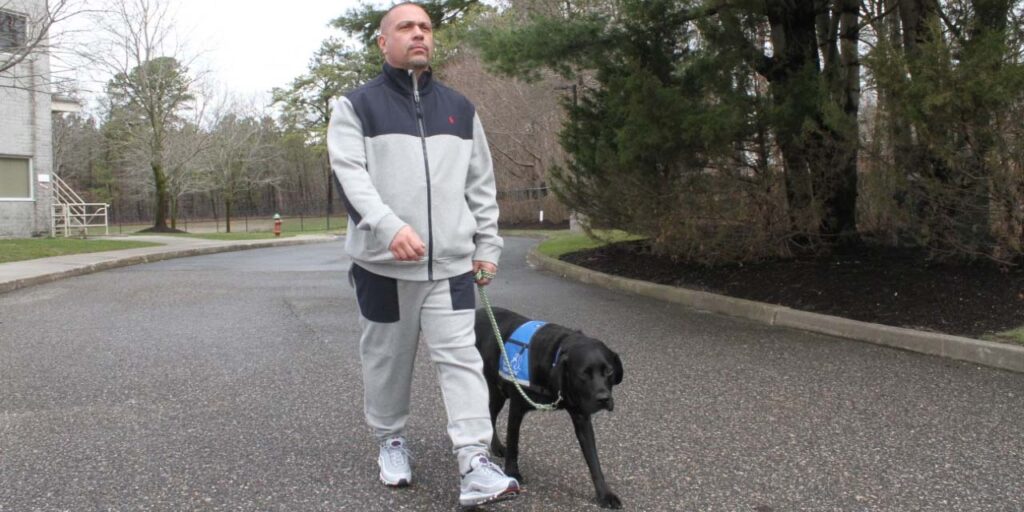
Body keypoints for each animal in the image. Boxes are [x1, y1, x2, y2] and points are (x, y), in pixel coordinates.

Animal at [473, 305, 622, 509]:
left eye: (608, 371)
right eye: (583, 374)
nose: (604, 399)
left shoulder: (582, 417)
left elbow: (593, 460)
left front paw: (604, 494)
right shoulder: (517, 408)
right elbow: (514, 443)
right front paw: (512, 471)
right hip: (493, 388)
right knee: (490, 414)